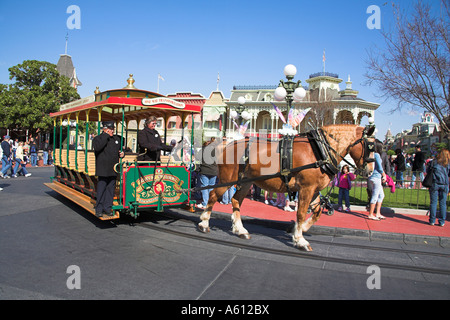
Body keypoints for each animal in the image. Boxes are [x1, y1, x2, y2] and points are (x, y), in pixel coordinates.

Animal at [197, 124, 376, 251]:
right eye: (371, 146)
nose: (370, 171)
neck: (319, 151)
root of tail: (226, 145)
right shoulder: (306, 188)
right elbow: (301, 213)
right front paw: (300, 240)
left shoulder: (314, 190)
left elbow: (317, 212)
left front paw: (296, 229)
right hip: (228, 179)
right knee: (212, 195)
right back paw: (204, 223)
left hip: (246, 181)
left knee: (236, 201)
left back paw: (240, 230)